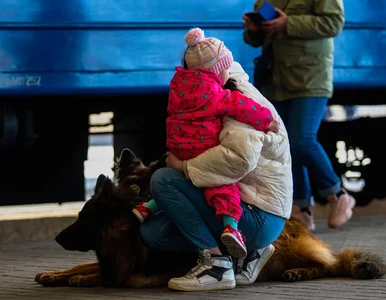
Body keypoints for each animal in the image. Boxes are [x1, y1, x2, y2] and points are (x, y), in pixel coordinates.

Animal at [34, 148, 384, 288]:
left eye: (82, 219)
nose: (57, 238)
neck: (121, 232)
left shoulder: (132, 270)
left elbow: (107, 275)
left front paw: (80, 279)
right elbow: (82, 265)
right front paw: (54, 274)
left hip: (287, 244)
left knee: (328, 264)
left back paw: (299, 271)